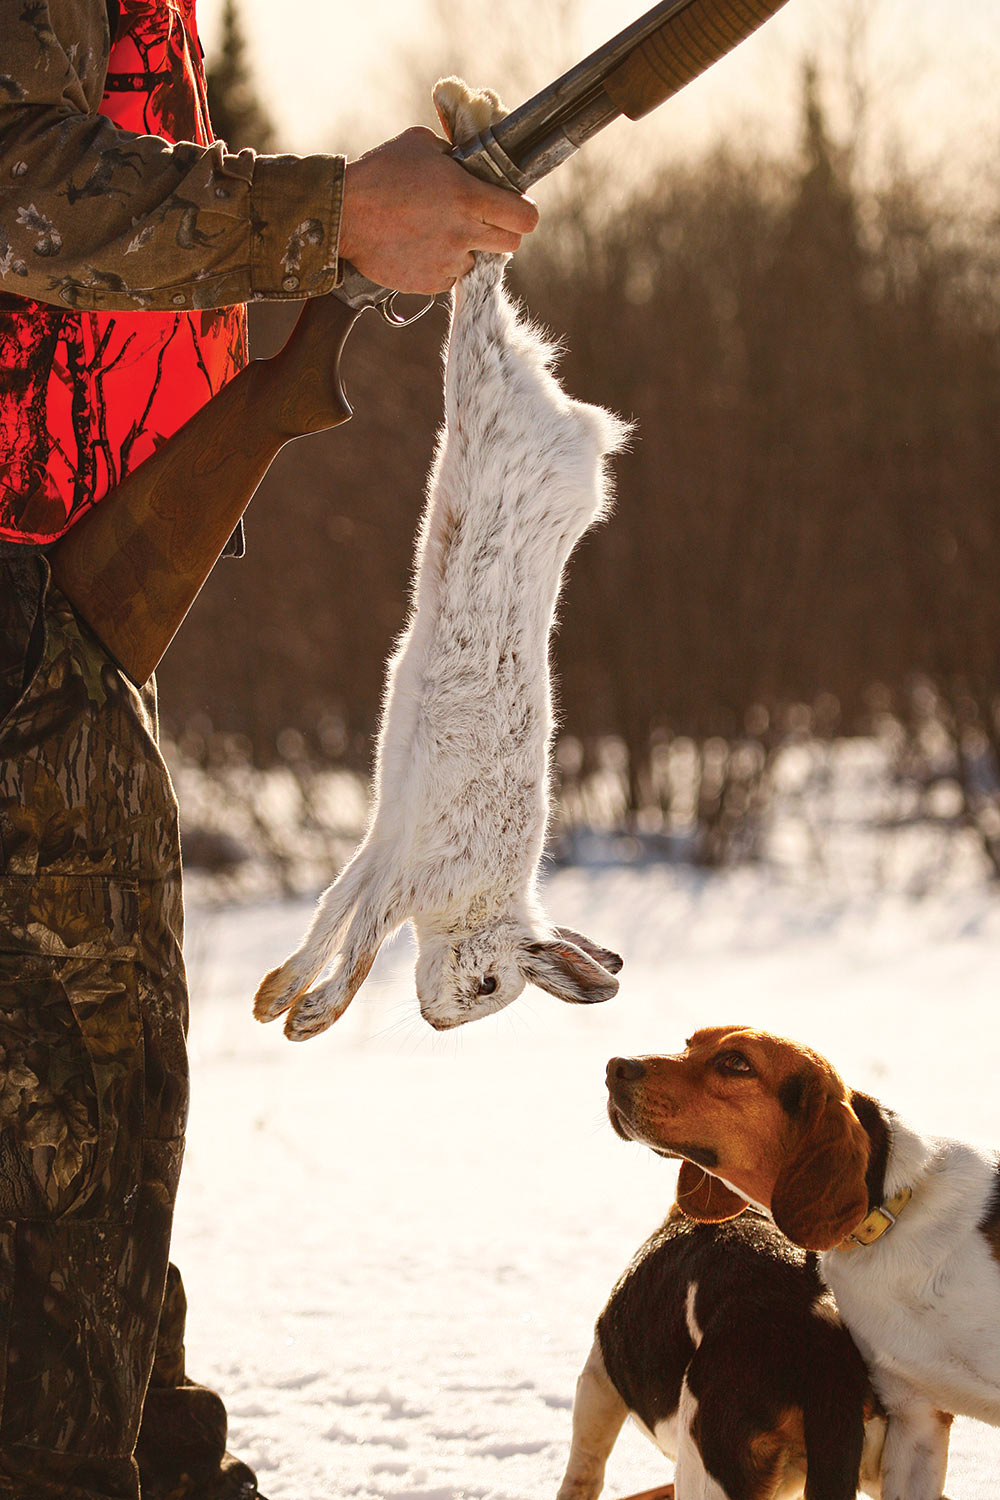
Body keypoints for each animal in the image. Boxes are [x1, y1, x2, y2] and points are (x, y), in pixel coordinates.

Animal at [253, 78, 630, 1041]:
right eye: (493, 984)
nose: (436, 1023)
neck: (476, 902)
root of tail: (571, 424)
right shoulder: (413, 870)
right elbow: (362, 940)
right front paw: (310, 1017)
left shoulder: (384, 843)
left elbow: (335, 913)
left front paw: (281, 1000)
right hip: (486, 390)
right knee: (479, 295)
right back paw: (475, 117)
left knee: (479, 297)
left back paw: (468, 108)